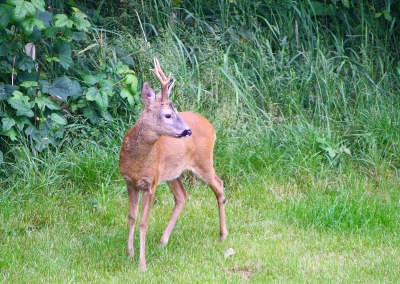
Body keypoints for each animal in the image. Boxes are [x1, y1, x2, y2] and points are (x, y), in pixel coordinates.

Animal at [119, 56, 228, 270]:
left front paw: (142, 264)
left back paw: (223, 235)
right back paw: (163, 240)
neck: (137, 162)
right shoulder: (130, 182)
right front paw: (130, 253)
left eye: (175, 111)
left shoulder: (151, 183)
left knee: (219, 185)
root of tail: (211, 126)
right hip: (173, 173)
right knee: (182, 196)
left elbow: (143, 222)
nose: (187, 131)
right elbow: (131, 217)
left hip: (204, 161)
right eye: (168, 114)